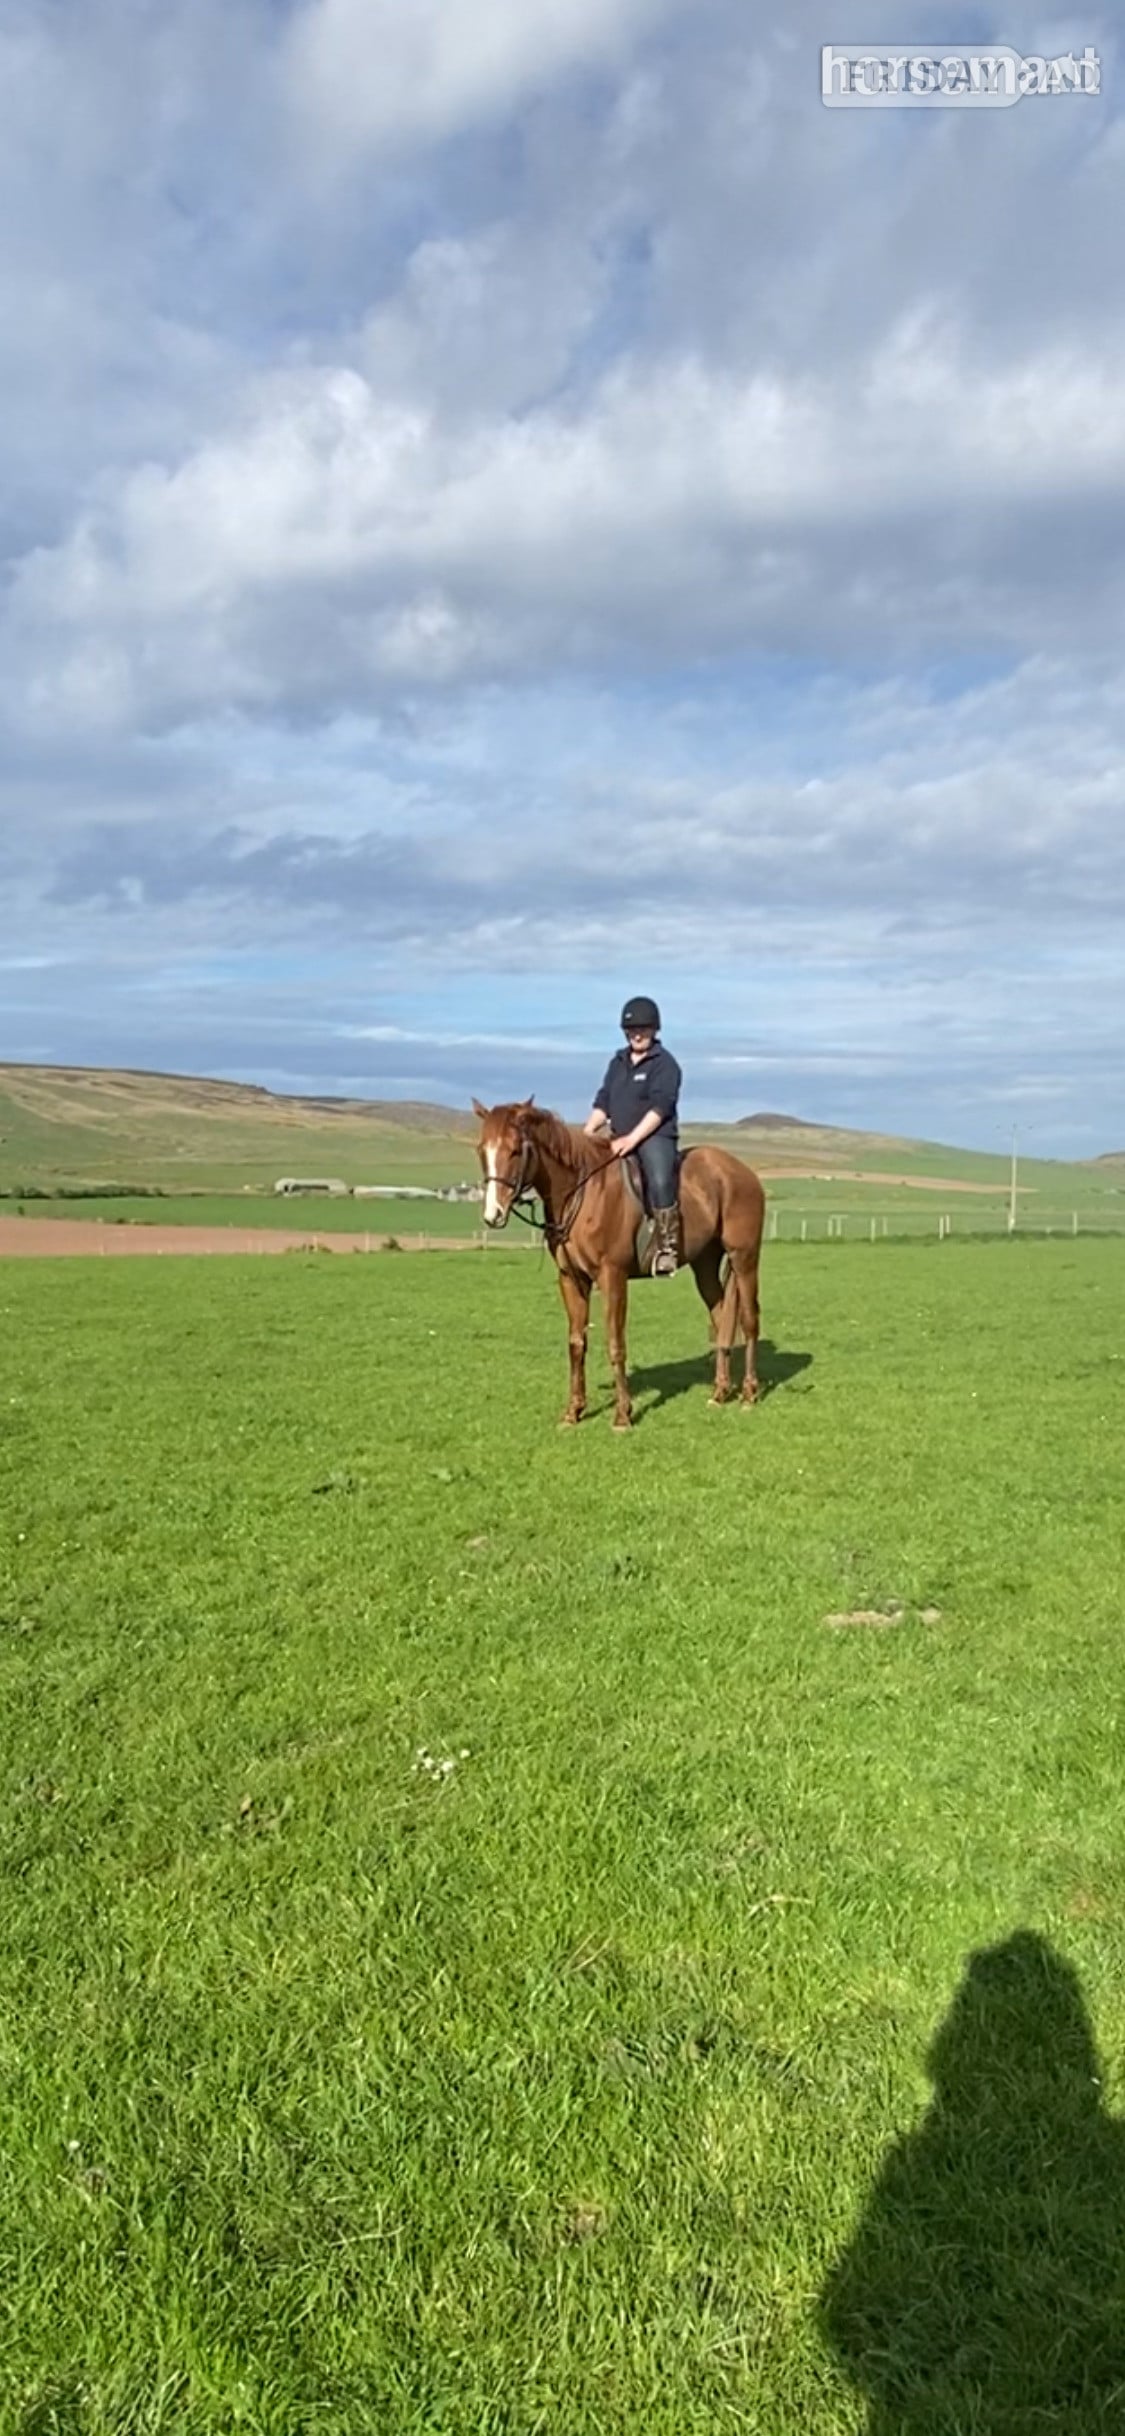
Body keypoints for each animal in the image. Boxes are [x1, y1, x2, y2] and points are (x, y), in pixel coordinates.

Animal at [472, 1097, 765, 1430]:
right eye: (481, 1150)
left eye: (515, 1150)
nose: (493, 1214)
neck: (583, 1192)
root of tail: (742, 1172)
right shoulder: (571, 1279)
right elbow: (576, 1344)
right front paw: (573, 1411)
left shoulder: (612, 1276)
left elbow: (615, 1343)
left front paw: (623, 1414)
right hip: (705, 1263)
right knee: (721, 1318)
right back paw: (719, 1392)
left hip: (744, 1258)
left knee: (749, 1320)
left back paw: (749, 1394)